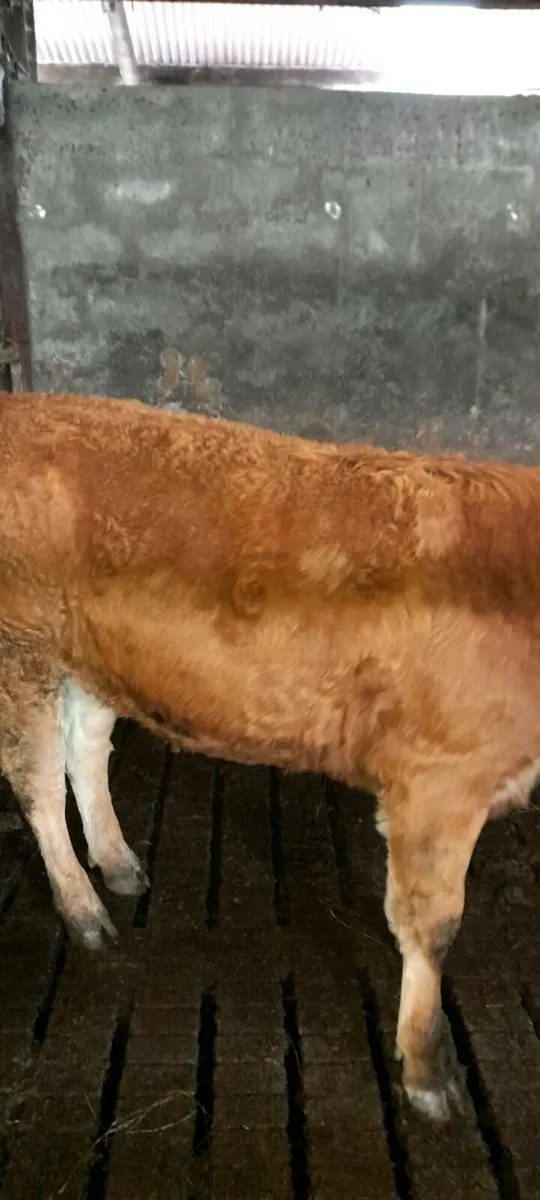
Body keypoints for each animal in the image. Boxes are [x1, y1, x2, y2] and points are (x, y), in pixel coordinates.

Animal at [1, 389, 539, 1122]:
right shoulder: (440, 777)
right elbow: (432, 926)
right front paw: (428, 1073)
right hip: (21, 646)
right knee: (38, 780)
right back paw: (83, 912)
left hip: (91, 653)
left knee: (84, 749)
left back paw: (117, 863)